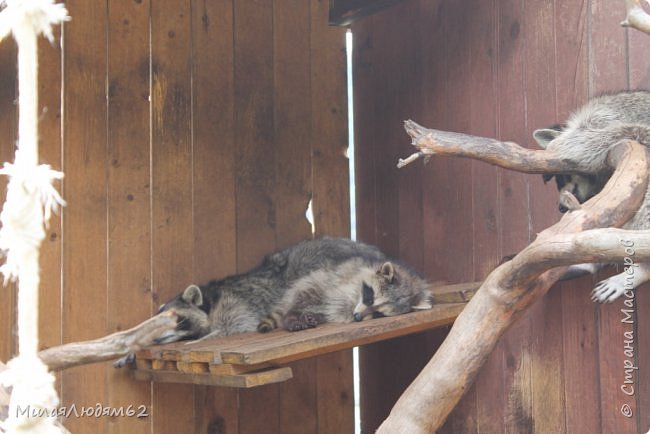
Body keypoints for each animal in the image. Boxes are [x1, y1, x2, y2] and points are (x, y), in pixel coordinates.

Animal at [153, 236, 384, 344]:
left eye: (174, 318)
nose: (153, 338)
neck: (211, 301)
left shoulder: (235, 306)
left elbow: (232, 328)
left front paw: (201, 339)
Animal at [256, 258, 430, 332]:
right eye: (369, 298)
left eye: (379, 314)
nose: (357, 317)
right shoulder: (345, 283)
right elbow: (338, 303)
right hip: (314, 282)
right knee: (308, 296)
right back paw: (291, 316)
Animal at [532, 90, 648, 304]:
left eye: (563, 176)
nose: (561, 207)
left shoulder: (610, 119)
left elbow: (599, 137)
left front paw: (559, 144)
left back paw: (642, 269)